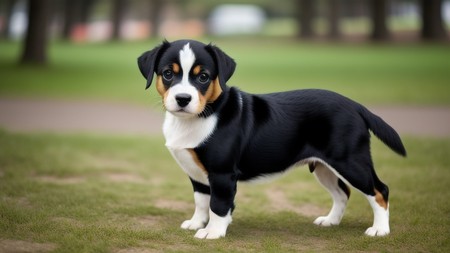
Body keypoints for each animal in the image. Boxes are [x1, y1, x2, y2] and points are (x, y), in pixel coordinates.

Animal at [135, 39, 406, 239]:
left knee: (379, 190)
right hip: (325, 167)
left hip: (350, 161)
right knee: (342, 193)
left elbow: (218, 205)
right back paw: (330, 221)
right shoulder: (197, 174)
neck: (200, 117)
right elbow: (201, 201)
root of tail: (356, 106)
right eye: (168, 74)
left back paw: (380, 230)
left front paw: (213, 232)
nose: (183, 99)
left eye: (203, 77)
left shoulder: (222, 173)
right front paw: (196, 223)